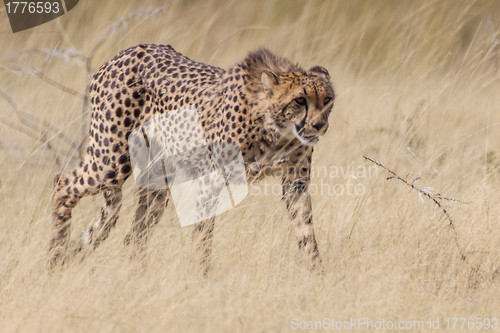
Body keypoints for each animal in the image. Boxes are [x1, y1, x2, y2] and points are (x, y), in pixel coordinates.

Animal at [49, 43, 336, 272]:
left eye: (327, 100)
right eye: (299, 100)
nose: (320, 125)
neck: (275, 129)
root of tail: (127, 51)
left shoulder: (295, 182)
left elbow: (306, 232)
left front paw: (317, 276)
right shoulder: (211, 179)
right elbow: (203, 235)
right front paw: (201, 277)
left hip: (157, 181)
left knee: (134, 233)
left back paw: (133, 275)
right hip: (110, 162)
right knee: (63, 185)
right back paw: (54, 256)